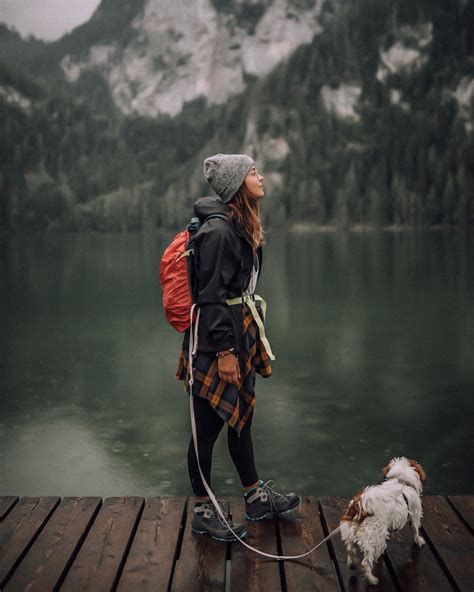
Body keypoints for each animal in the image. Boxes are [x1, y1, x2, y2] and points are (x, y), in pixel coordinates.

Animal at [338, 456, 428, 584]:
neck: (401, 480)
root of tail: (360, 505)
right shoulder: (415, 513)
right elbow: (415, 529)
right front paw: (419, 540)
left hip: (351, 532)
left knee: (350, 549)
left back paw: (352, 563)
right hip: (374, 537)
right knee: (366, 562)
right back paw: (372, 579)